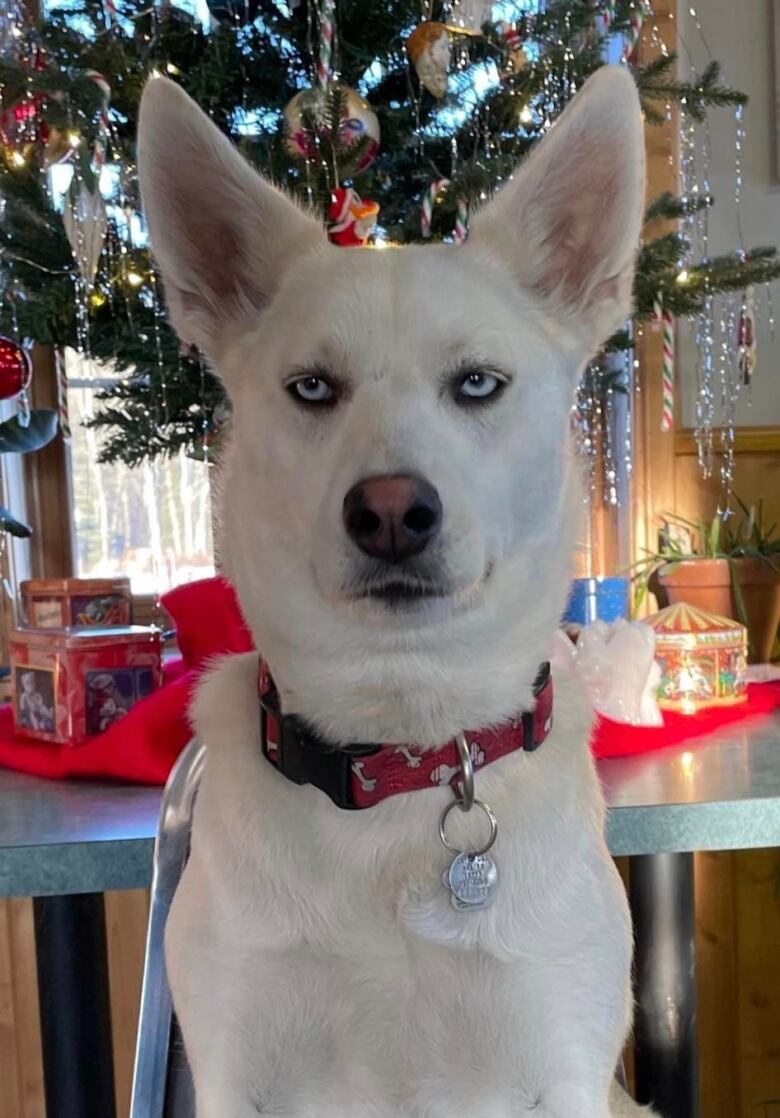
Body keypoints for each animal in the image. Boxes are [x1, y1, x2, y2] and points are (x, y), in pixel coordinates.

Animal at [138, 65, 648, 1113]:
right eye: (311, 388)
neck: (403, 754)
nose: (388, 512)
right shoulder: (232, 1070)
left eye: (479, 383)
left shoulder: (563, 1065)